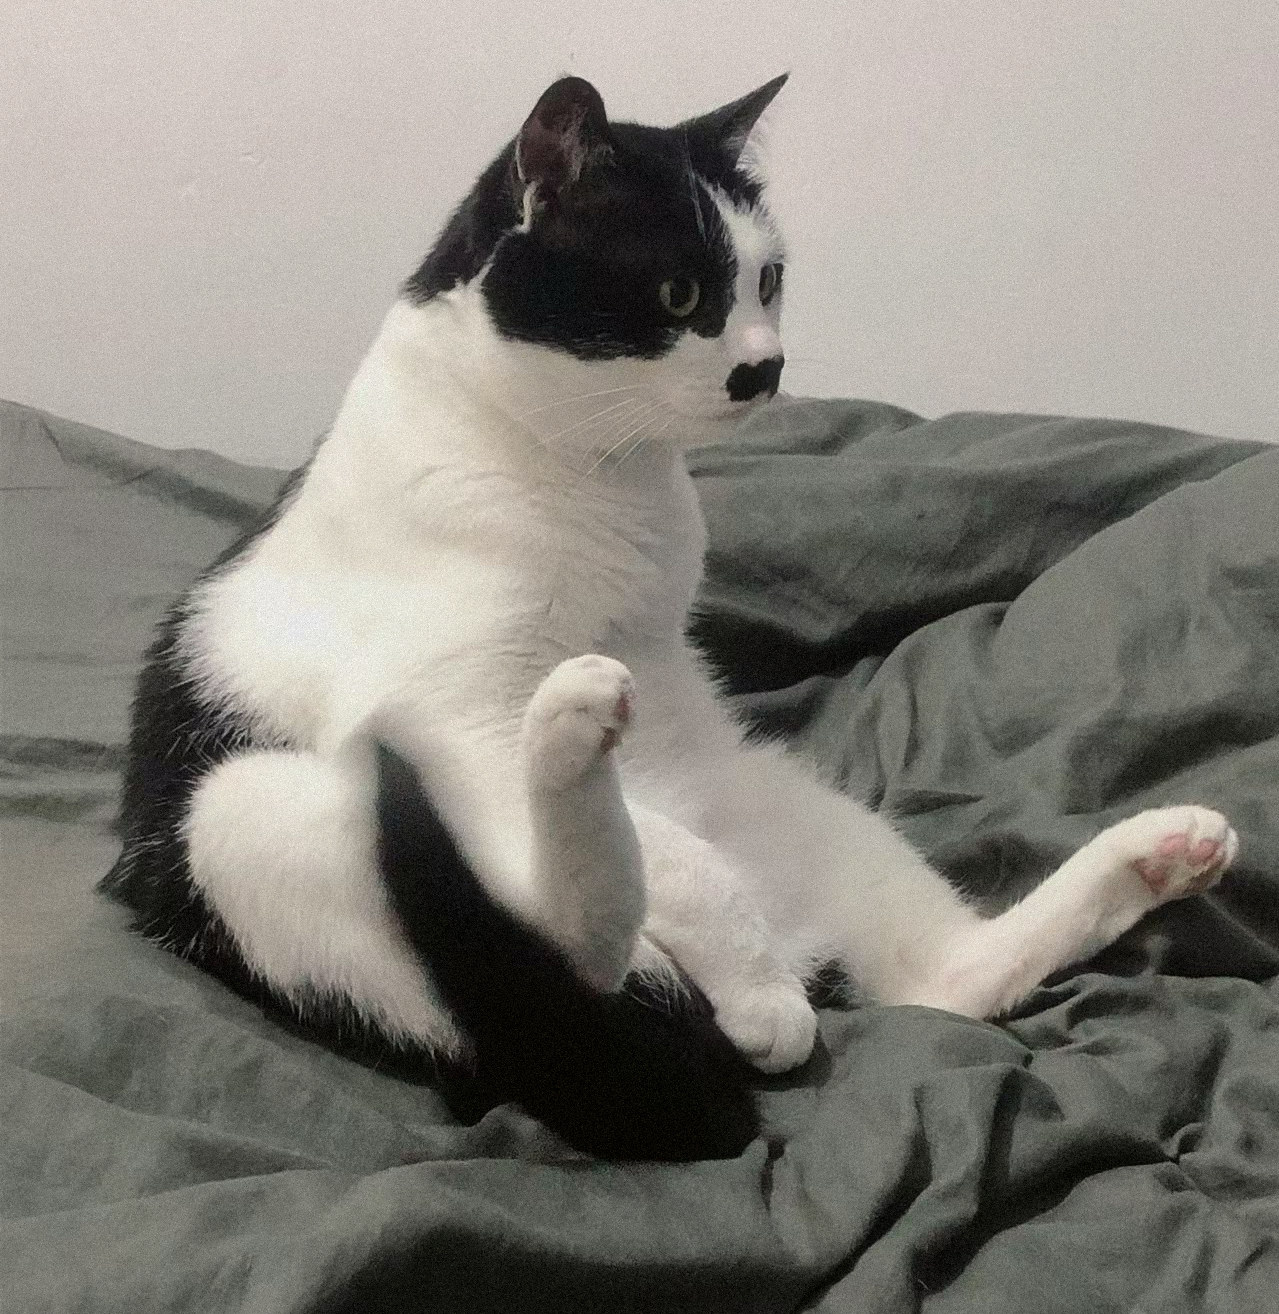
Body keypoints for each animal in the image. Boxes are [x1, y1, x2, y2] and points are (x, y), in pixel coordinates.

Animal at [103, 73, 1237, 1161]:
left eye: (768, 282)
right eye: (679, 292)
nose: (763, 366)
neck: (592, 475)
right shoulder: (443, 721)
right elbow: (676, 865)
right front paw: (757, 993)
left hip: (799, 805)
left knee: (944, 980)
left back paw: (1155, 853)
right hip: (246, 809)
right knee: (571, 944)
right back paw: (596, 764)